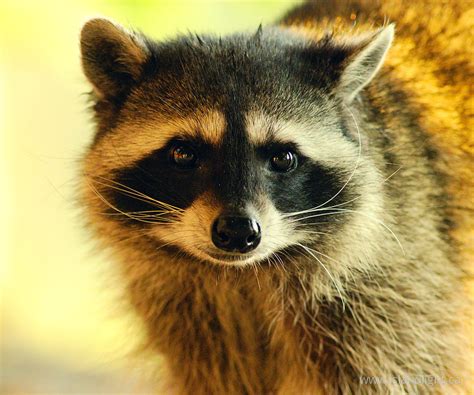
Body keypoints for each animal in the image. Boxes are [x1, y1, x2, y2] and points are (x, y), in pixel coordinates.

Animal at [78, 0, 470, 395]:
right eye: (184, 154)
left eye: (283, 158)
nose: (238, 231)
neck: (241, 277)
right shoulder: (191, 325)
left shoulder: (394, 300)